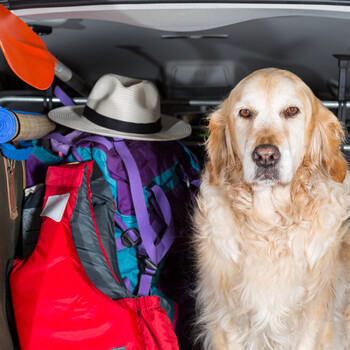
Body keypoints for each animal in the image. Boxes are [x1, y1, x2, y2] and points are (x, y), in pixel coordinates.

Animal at [194, 67, 350, 348]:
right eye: (245, 112)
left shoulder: (315, 318)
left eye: (292, 110)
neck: (269, 223)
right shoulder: (226, 319)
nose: (265, 156)